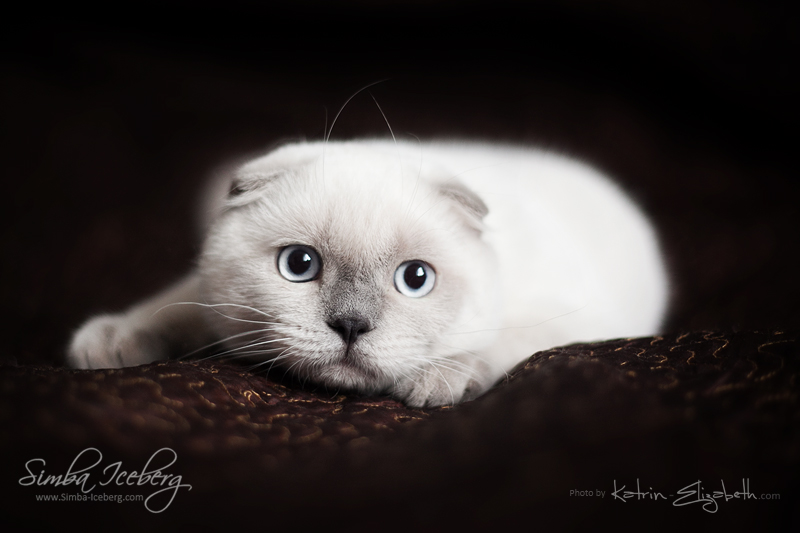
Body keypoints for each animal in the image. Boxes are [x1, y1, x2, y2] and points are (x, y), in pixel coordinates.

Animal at [67, 139, 668, 406]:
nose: (351, 326)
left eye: (415, 279)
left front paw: (434, 382)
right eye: (299, 265)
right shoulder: (203, 303)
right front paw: (109, 344)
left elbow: (496, 345)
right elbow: (177, 304)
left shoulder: (571, 321)